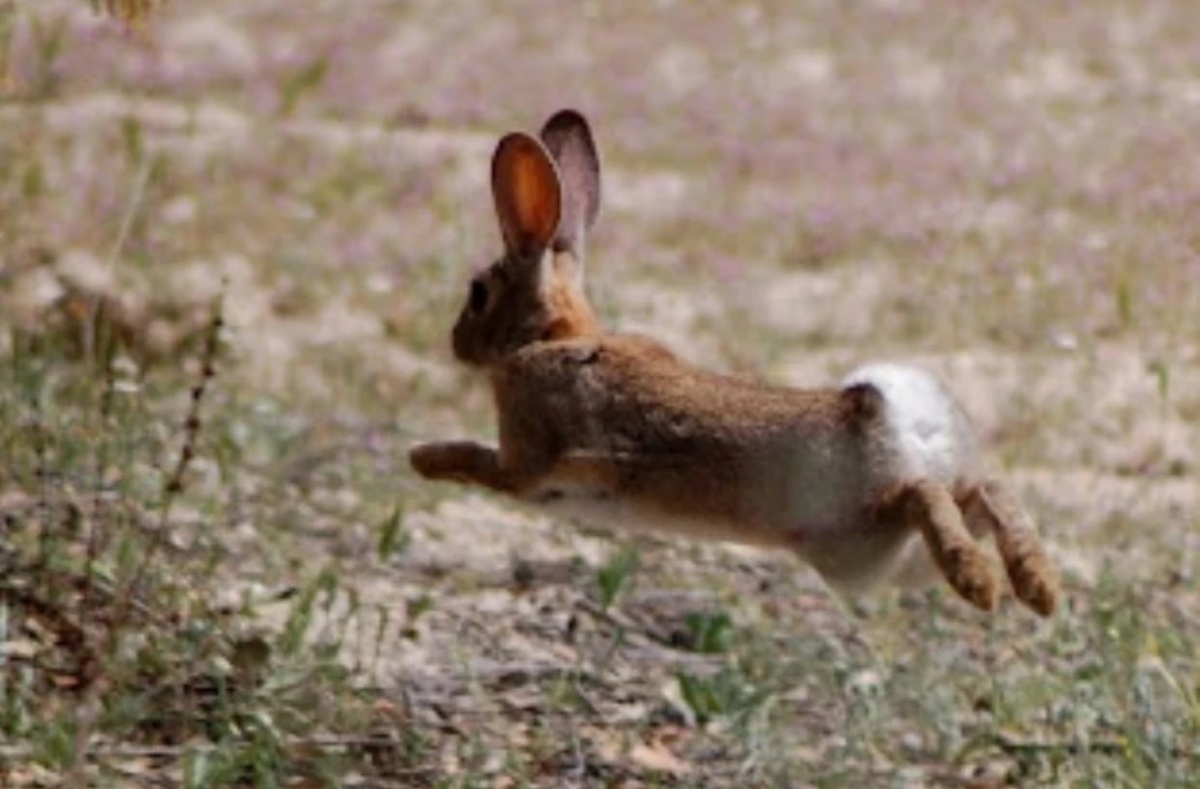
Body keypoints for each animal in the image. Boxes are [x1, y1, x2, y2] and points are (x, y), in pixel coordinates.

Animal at [409, 109, 1059, 617]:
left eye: (477, 293)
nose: (456, 342)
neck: (548, 338)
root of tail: (896, 413)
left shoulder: (524, 464)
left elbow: (479, 462)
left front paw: (423, 458)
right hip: (887, 555)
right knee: (986, 491)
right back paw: (1035, 583)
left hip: (863, 530)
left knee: (925, 494)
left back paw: (976, 578)